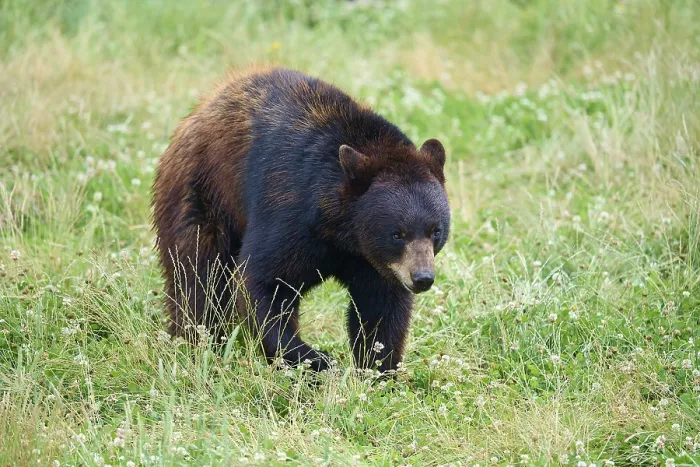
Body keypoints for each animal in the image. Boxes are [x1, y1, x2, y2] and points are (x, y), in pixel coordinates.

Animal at [152, 67, 450, 373]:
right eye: (397, 233)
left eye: (435, 231)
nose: (422, 278)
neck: (342, 230)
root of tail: (199, 109)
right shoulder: (290, 212)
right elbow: (265, 282)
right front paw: (313, 358)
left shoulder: (373, 260)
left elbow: (381, 305)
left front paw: (378, 366)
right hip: (202, 193)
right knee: (198, 273)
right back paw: (198, 338)